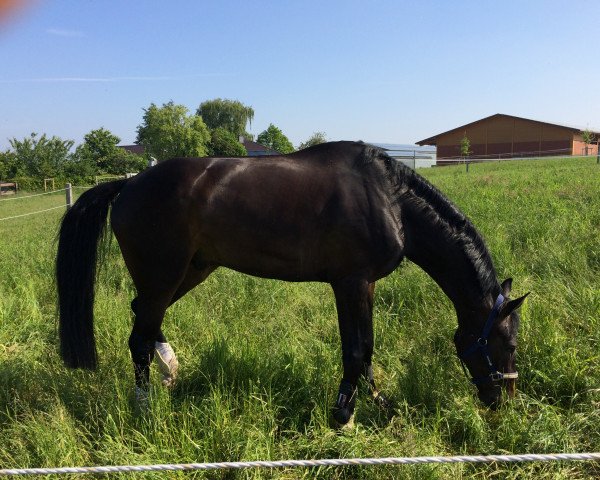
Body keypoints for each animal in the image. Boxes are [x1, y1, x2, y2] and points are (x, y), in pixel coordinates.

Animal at [55, 141, 524, 426]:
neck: (390, 200)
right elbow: (356, 350)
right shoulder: (351, 283)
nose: (504, 402)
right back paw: (145, 409)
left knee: (144, 319)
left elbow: (367, 348)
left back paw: (171, 370)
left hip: (189, 271)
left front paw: (377, 404)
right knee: (138, 336)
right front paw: (343, 417)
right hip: (165, 275)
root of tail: (129, 184)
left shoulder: (360, 285)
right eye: (510, 344)